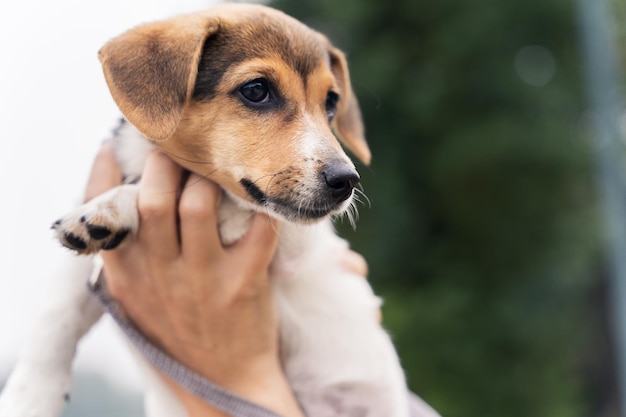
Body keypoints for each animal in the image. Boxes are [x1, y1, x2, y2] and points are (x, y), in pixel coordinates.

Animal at [1, 4, 438, 416]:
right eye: (256, 90)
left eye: (331, 103)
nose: (347, 181)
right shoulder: (84, 274)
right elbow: (55, 320)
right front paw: (29, 398)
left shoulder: (284, 236)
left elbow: (215, 194)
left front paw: (116, 203)